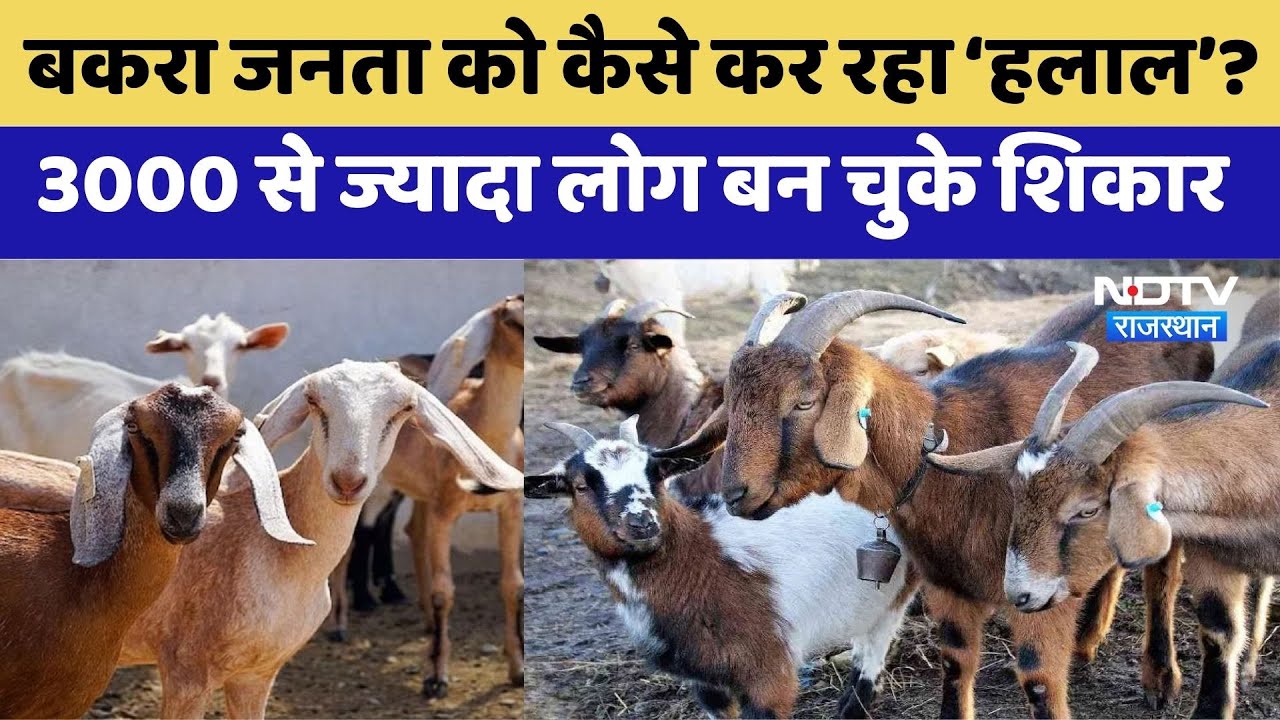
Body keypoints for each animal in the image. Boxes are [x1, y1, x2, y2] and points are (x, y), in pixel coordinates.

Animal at [379, 295, 526, 697]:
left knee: (413, 531)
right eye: (510, 320)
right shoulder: (445, 512)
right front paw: (436, 678)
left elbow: (513, 586)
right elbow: (444, 592)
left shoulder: (511, 510)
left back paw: (428, 625)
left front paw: (517, 671)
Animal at [527, 417, 915, 719]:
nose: (642, 522)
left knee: (876, 649)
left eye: (656, 474)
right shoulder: (705, 682)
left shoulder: (769, 674)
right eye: (580, 485)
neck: (708, 561)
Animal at [656, 290, 1218, 719]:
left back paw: (1160, 679)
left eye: (803, 401)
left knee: (1162, 571)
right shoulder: (949, 586)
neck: (947, 455)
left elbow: (1039, 680)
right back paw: (1090, 638)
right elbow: (955, 665)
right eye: (733, 403)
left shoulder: (1040, 590)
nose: (735, 493)